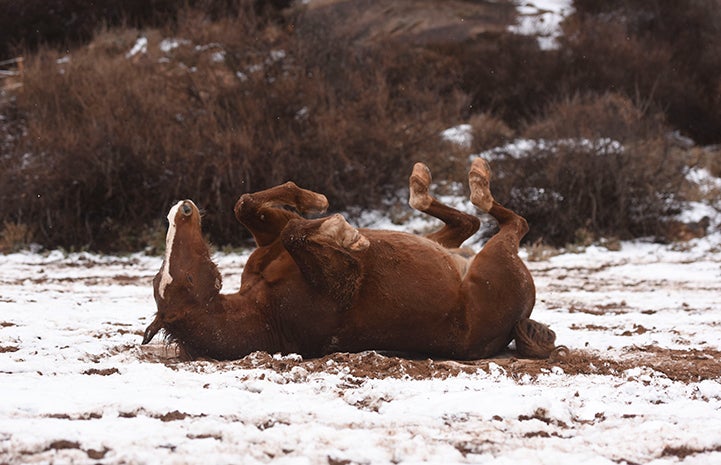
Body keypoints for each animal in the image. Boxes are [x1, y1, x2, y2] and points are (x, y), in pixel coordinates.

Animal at [141, 159, 556, 358]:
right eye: (187, 281)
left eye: (172, 278)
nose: (181, 211)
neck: (267, 311)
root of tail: (518, 320)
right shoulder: (343, 279)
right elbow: (299, 233)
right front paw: (345, 232)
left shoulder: (269, 238)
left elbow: (249, 206)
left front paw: (312, 199)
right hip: (496, 257)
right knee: (512, 222)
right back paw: (475, 181)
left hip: (447, 244)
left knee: (469, 220)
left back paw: (424, 182)